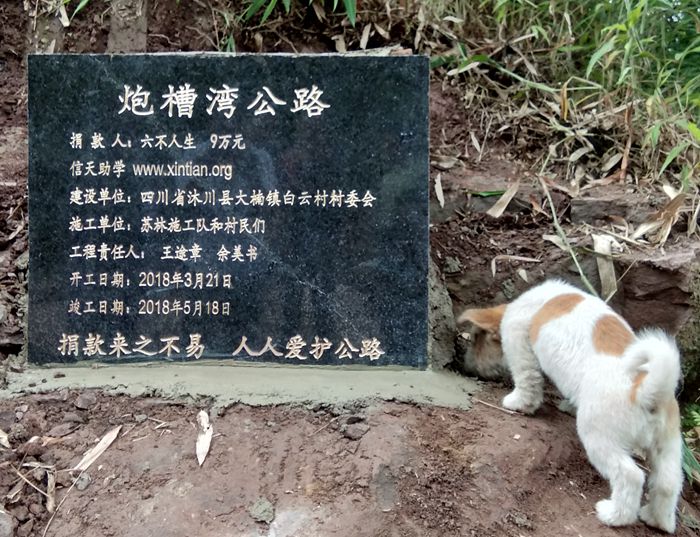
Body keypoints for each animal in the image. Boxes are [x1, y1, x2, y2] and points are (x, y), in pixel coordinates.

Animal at [457, 279, 683, 533]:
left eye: (475, 340)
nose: (465, 367)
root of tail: (646, 390)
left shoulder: (519, 345)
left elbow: (527, 381)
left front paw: (517, 403)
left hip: (599, 438)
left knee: (630, 476)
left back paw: (614, 515)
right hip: (668, 447)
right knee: (667, 484)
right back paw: (657, 520)